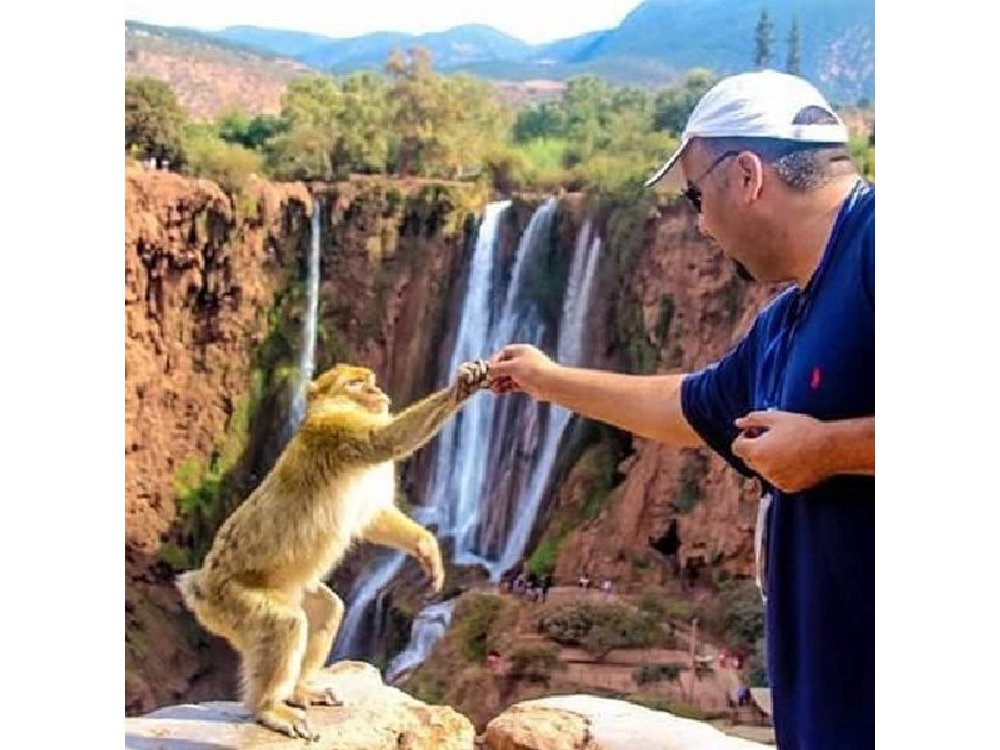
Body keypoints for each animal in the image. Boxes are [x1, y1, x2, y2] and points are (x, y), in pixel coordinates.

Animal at [175, 359, 491, 741]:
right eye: (356, 383)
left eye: (370, 380)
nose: (377, 391)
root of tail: (201, 584)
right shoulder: (336, 427)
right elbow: (385, 441)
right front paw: (463, 386)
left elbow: (372, 517)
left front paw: (425, 546)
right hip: (231, 601)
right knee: (285, 624)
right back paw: (269, 708)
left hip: (290, 590)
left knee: (327, 609)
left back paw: (298, 689)